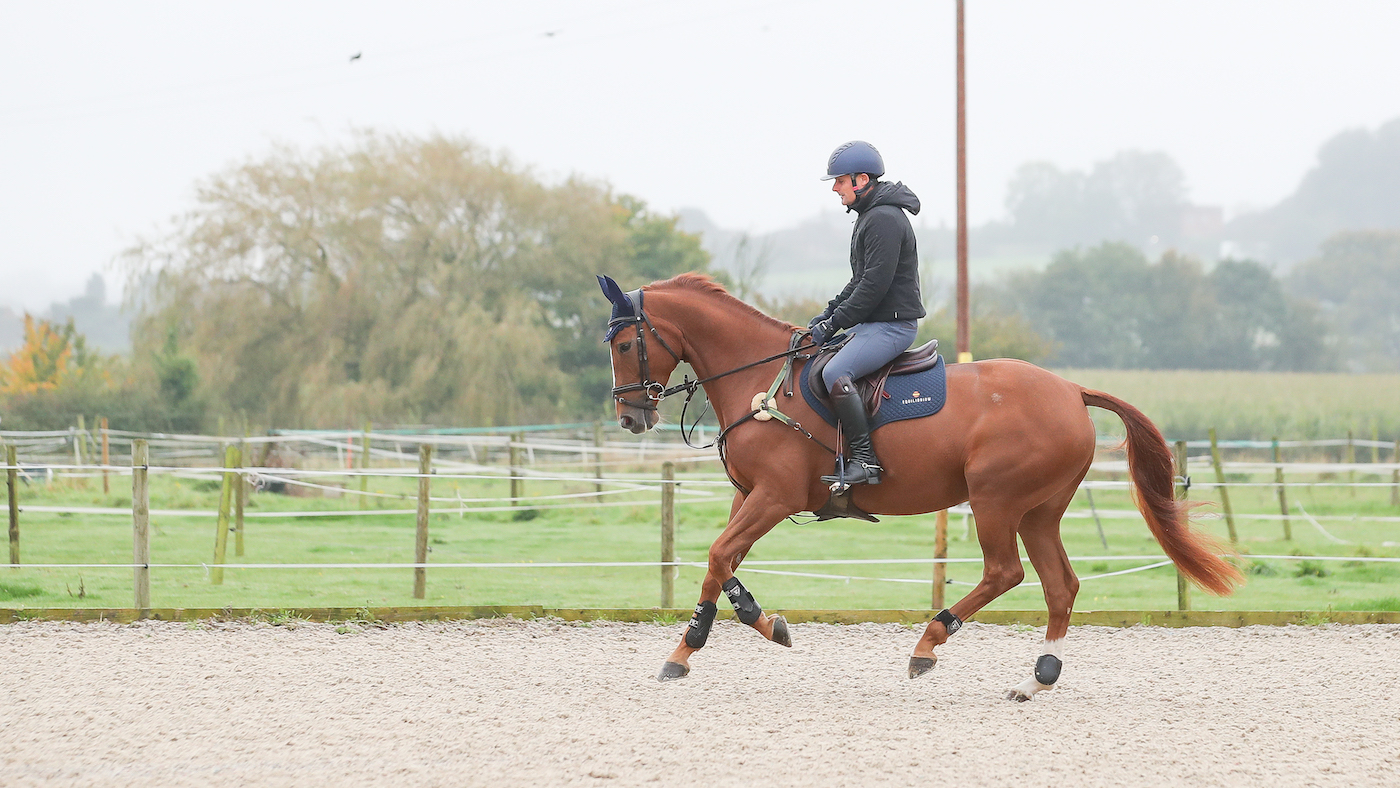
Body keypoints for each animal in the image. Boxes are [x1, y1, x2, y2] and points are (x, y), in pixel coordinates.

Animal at [598, 272, 1241, 701]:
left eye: (625, 344)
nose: (631, 417)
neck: (759, 378)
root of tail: (1070, 390)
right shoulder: (749, 494)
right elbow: (723, 561)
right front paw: (758, 625)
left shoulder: (774, 498)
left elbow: (717, 554)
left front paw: (687, 649)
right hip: (1039, 511)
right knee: (1061, 585)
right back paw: (1037, 678)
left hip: (995, 499)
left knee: (1005, 573)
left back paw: (928, 644)